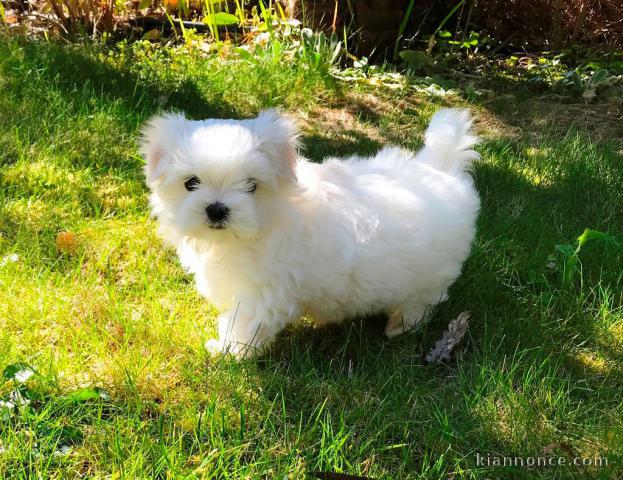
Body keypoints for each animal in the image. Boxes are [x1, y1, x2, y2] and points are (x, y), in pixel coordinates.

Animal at [143, 108, 482, 356]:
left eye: (252, 185)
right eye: (191, 183)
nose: (216, 208)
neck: (267, 220)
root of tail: (440, 169)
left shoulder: (264, 292)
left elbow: (245, 322)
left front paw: (232, 352)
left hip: (427, 276)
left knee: (421, 302)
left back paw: (399, 326)